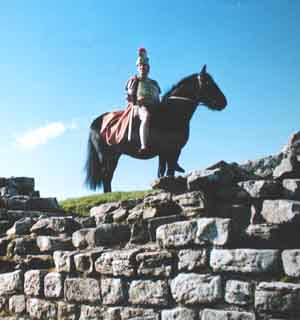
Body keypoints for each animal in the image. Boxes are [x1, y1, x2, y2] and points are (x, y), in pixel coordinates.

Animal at [85, 63, 226, 191]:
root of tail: (96, 122)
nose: (224, 102)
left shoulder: (168, 152)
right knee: (106, 175)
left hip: (114, 156)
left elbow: (163, 171)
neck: (171, 113)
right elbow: (168, 171)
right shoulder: (170, 151)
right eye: (208, 83)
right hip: (106, 156)